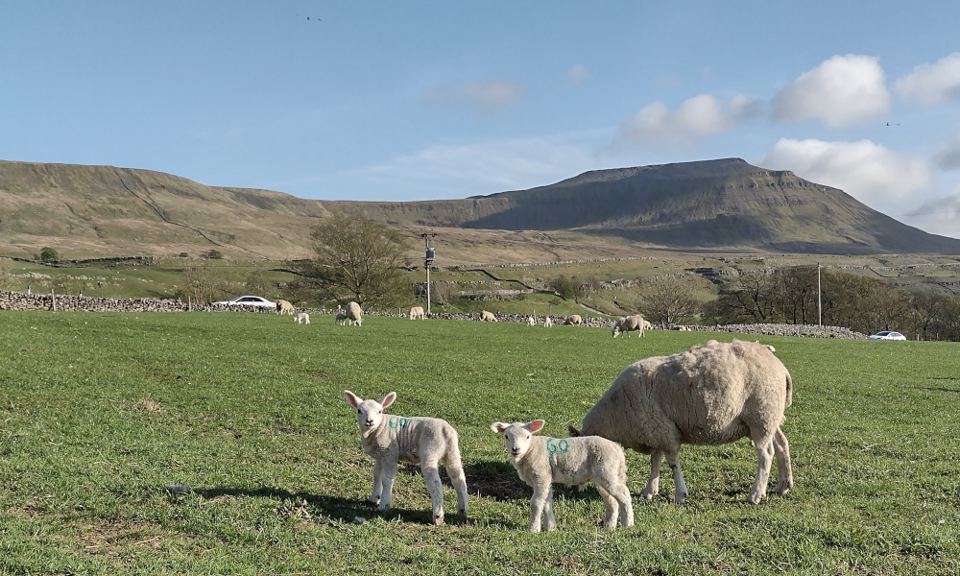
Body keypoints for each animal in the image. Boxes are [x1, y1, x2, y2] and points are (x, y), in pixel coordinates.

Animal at [344, 391, 468, 524]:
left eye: (380, 411)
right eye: (359, 410)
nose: (369, 421)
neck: (379, 427)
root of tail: (446, 430)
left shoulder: (390, 453)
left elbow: (387, 479)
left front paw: (384, 505)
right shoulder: (380, 456)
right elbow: (376, 475)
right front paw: (374, 498)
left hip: (430, 451)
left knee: (435, 483)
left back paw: (438, 516)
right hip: (453, 452)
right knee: (458, 479)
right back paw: (462, 510)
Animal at [490, 419, 633, 533]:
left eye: (527, 436)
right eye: (506, 436)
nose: (515, 449)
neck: (530, 451)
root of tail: (618, 449)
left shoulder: (541, 475)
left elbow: (536, 503)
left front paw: (533, 529)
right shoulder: (546, 479)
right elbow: (547, 503)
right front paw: (551, 528)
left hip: (607, 471)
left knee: (624, 495)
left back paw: (628, 524)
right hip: (605, 476)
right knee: (612, 500)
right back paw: (609, 526)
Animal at [569, 339, 793, 505]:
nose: (573, 490)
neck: (616, 415)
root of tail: (780, 366)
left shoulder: (664, 432)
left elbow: (672, 464)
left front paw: (680, 494)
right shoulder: (656, 430)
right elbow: (655, 462)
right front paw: (649, 490)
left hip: (761, 416)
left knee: (766, 455)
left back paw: (755, 495)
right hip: (770, 418)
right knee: (782, 445)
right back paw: (783, 485)